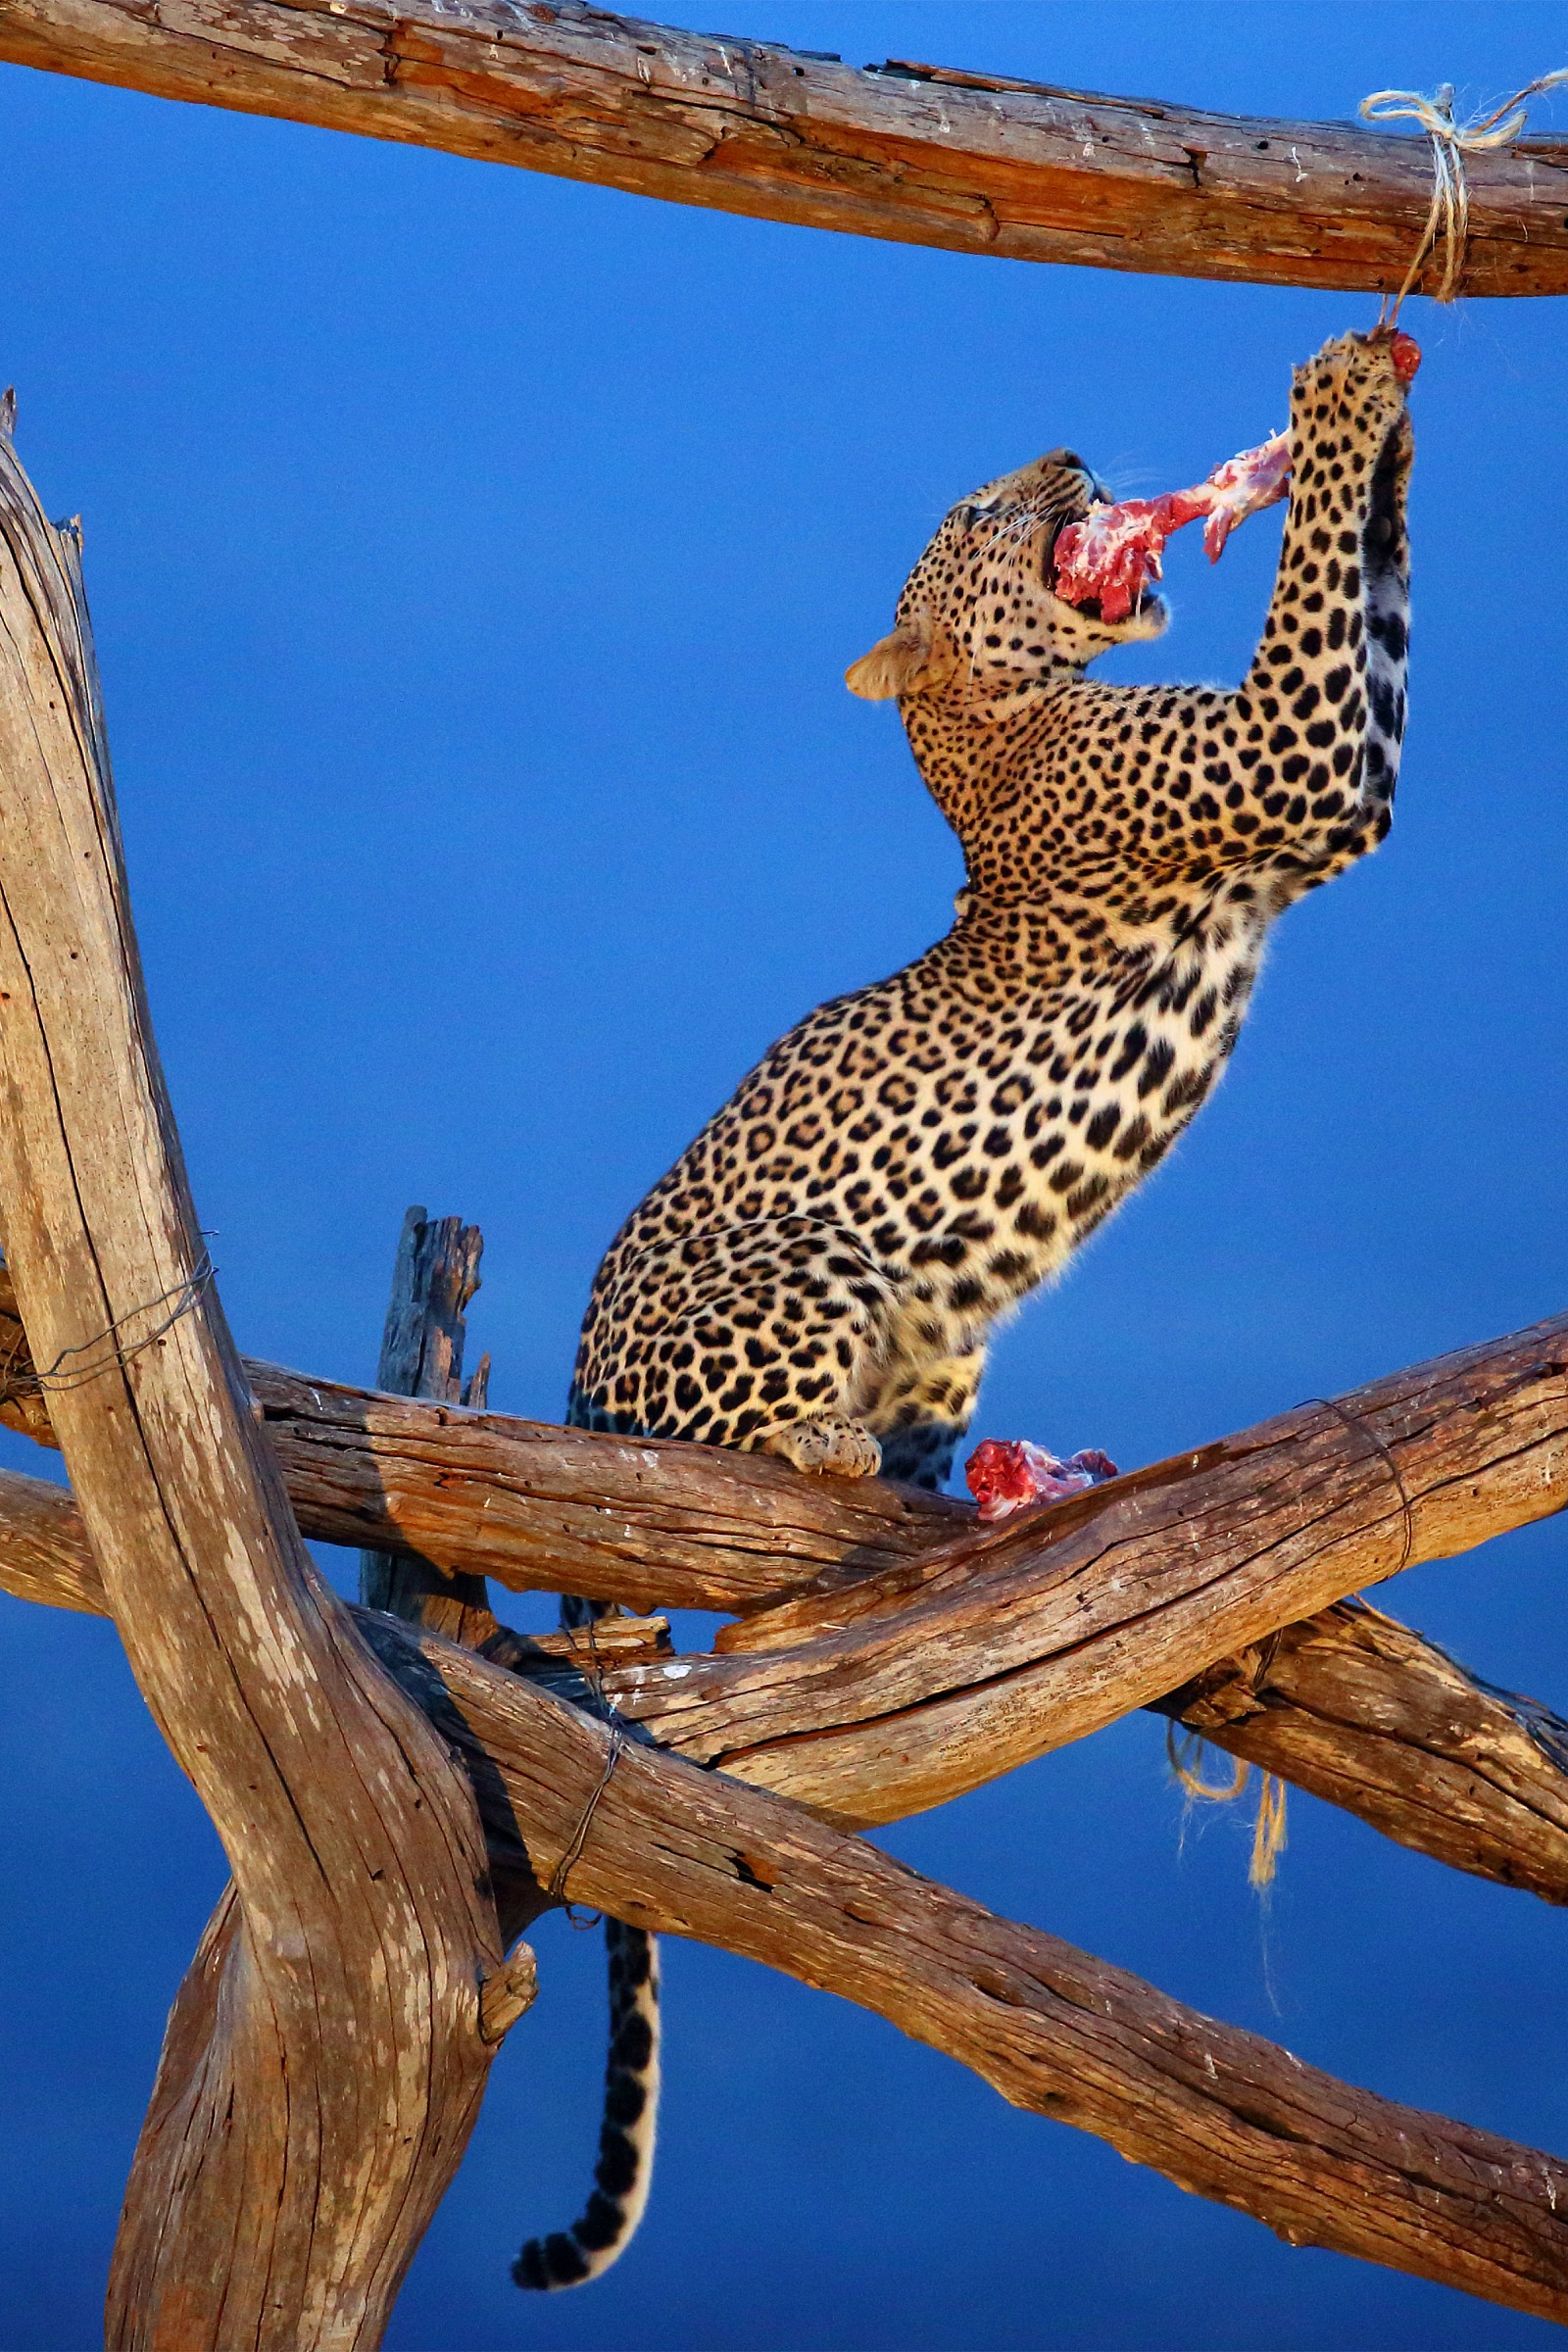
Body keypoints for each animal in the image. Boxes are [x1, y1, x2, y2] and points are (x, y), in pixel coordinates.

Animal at [514, 328, 1413, 2290]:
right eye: (988, 510)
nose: (1069, 453)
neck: (989, 730)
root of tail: (567, 1398)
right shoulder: (1301, 757)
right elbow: (1328, 598)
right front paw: (1336, 405)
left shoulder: (1327, 768)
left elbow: (1374, 597)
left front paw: (1384, 381)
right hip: (832, 1270)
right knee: (756, 1449)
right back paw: (834, 1451)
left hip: (950, 1336)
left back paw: (980, 1486)